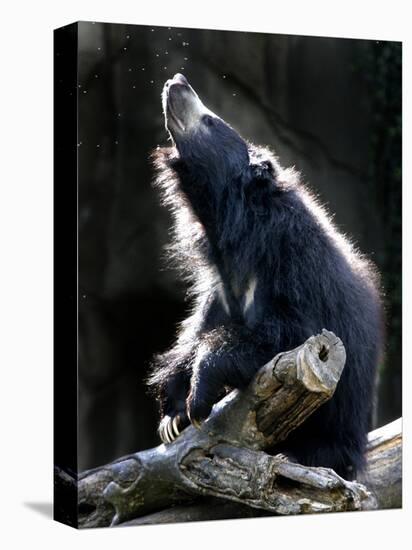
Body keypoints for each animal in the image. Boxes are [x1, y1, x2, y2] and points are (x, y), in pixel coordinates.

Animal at [148, 72, 384, 478]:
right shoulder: (219, 288)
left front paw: (197, 399)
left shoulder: (294, 267)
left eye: (210, 121)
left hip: (338, 425)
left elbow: (287, 334)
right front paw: (172, 417)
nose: (177, 81)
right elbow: (196, 332)